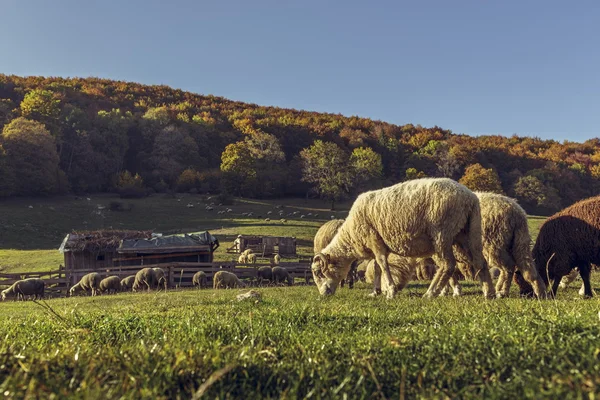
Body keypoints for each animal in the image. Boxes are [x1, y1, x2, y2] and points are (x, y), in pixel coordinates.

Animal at [312, 177, 494, 298]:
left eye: (319, 273)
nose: (323, 295)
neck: (351, 234)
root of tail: (470, 197)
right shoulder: (378, 244)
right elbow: (377, 268)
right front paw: (375, 292)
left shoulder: (374, 239)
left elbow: (383, 265)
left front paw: (390, 292)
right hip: (468, 232)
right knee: (480, 261)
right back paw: (488, 292)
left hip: (441, 233)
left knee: (448, 265)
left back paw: (430, 293)